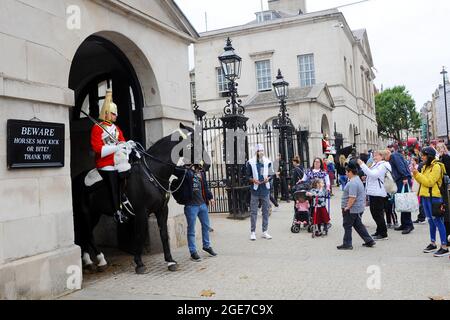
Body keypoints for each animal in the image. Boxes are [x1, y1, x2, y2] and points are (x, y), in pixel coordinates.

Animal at [72, 124, 202, 274]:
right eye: (192, 143)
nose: (206, 165)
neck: (152, 173)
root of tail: (75, 179)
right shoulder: (141, 212)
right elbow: (139, 234)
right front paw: (139, 263)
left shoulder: (162, 210)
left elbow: (164, 234)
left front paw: (170, 261)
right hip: (85, 214)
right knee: (87, 234)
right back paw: (100, 260)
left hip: (94, 214)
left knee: (85, 234)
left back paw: (89, 261)